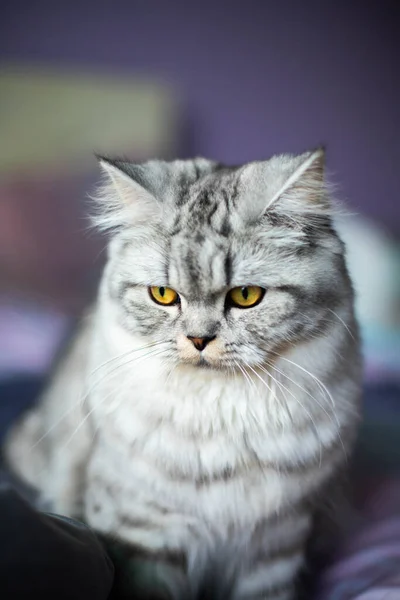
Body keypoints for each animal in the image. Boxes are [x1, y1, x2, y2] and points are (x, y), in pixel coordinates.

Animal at [4, 146, 362, 600]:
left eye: (246, 296)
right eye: (163, 295)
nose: (198, 339)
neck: (219, 415)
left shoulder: (275, 543)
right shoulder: (143, 533)